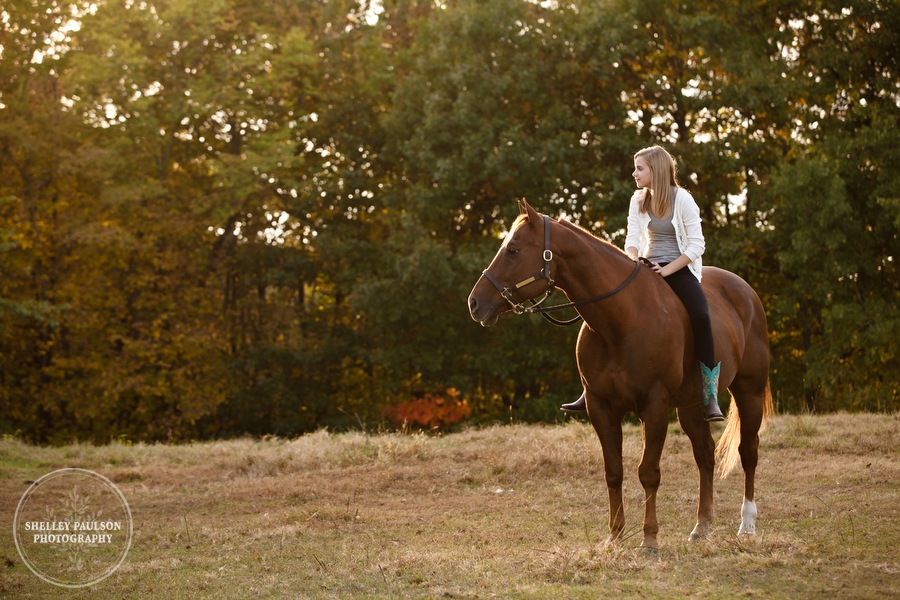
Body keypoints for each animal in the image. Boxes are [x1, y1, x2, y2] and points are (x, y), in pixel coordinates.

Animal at [468, 202, 768, 548]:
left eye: (513, 250)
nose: (475, 302)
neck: (621, 320)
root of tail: (747, 292)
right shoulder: (601, 408)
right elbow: (613, 471)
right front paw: (614, 536)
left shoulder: (654, 406)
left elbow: (648, 472)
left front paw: (649, 540)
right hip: (691, 406)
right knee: (705, 454)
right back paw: (702, 526)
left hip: (749, 392)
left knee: (748, 452)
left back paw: (747, 524)